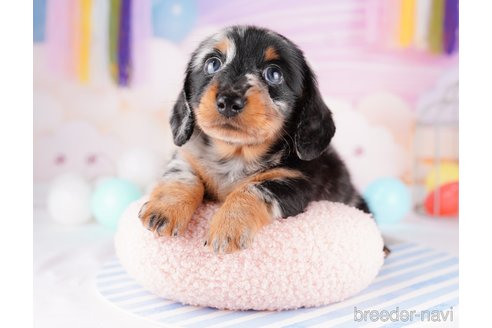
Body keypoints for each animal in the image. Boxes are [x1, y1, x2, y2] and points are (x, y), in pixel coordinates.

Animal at [137, 25, 388, 255]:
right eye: (213, 64)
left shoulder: (293, 182)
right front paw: (165, 209)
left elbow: (250, 190)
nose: (229, 100)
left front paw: (228, 225)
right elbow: (181, 179)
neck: (235, 154)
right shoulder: (185, 159)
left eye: (274, 74)